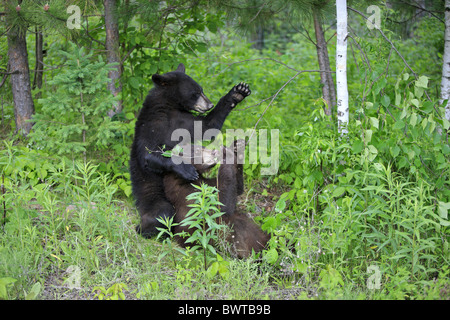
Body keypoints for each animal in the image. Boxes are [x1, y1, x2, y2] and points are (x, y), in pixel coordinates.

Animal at [128, 63, 251, 238]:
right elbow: (149, 154)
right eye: (196, 93)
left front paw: (238, 92)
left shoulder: (183, 120)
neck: (169, 108)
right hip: (149, 191)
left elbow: (207, 125)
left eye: (201, 89)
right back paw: (146, 230)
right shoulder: (151, 127)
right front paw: (186, 170)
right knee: (162, 211)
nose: (209, 104)